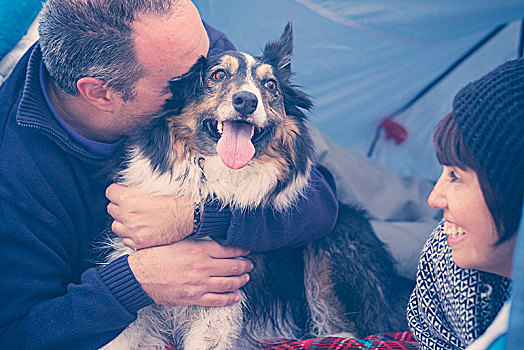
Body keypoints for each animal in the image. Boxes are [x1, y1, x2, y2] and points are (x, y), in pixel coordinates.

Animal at [100, 23, 408, 348]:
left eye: (270, 85)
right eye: (218, 75)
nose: (247, 100)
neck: (214, 181)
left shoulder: (219, 304)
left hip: (337, 237)